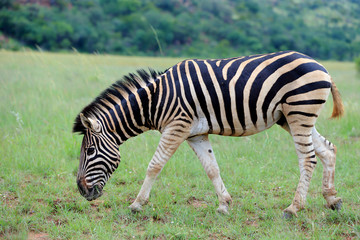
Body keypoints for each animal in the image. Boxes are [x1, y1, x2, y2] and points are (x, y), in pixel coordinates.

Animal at [72, 50, 344, 218]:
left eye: (90, 151)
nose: (82, 191)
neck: (155, 101)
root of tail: (322, 67)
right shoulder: (195, 134)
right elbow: (211, 168)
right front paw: (224, 204)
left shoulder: (177, 126)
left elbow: (154, 165)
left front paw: (137, 204)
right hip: (291, 117)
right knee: (328, 149)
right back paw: (332, 200)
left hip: (299, 112)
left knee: (308, 159)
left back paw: (293, 208)